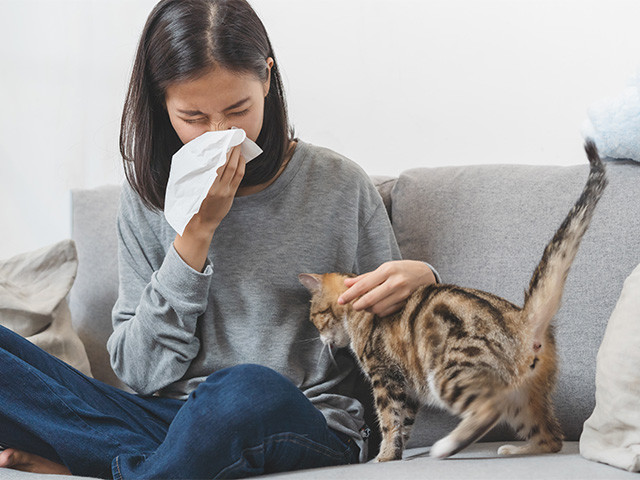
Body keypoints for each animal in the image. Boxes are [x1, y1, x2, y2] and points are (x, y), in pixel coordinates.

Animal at [298, 141, 608, 464]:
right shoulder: (407, 389)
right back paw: (515, 449)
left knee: (489, 410)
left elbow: (389, 420)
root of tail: (521, 320)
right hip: (524, 396)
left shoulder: (385, 376)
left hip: (449, 374)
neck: (357, 311)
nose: (321, 339)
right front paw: (395, 454)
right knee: (551, 437)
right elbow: (404, 424)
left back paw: (446, 446)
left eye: (314, 317)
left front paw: (384, 457)